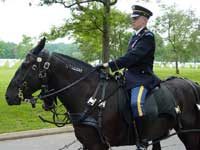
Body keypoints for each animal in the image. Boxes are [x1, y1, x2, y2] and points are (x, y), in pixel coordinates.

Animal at [4, 38, 200, 149]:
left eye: (27, 65)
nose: (8, 95)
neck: (90, 97)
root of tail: (191, 83)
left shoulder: (97, 144)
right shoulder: (88, 144)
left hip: (191, 133)